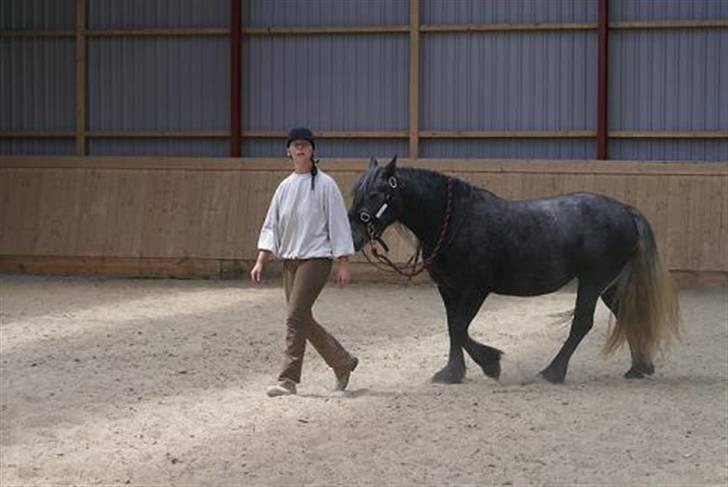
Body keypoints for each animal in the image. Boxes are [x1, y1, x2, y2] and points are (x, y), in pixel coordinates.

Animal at [348, 156, 680, 384]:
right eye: (356, 191)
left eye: (376, 193)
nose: (352, 236)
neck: (456, 220)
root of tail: (626, 210)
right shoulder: (448, 289)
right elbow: (453, 327)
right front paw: (453, 372)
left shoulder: (475, 288)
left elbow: (460, 328)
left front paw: (490, 363)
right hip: (608, 285)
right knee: (626, 314)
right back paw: (639, 367)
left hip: (592, 281)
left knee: (582, 323)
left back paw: (553, 372)